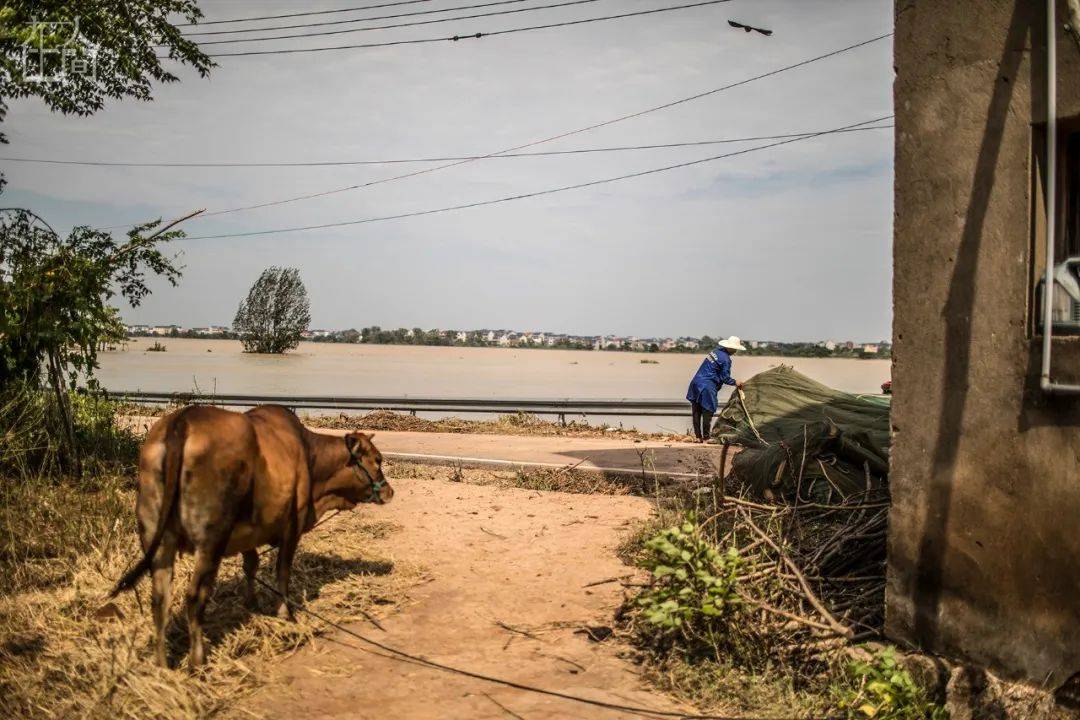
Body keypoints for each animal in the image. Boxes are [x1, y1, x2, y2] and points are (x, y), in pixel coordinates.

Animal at [108, 405, 393, 669]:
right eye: (377, 459)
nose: (389, 491)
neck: (310, 457)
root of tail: (184, 418)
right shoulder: (292, 527)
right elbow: (282, 573)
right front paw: (285, 614)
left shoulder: (248, 531)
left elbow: (251, 565)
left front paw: (251, 603)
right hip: (211, 540)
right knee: (194, 596)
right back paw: (198, 660)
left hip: (156, 537)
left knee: (159, 599)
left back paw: (162, 663)